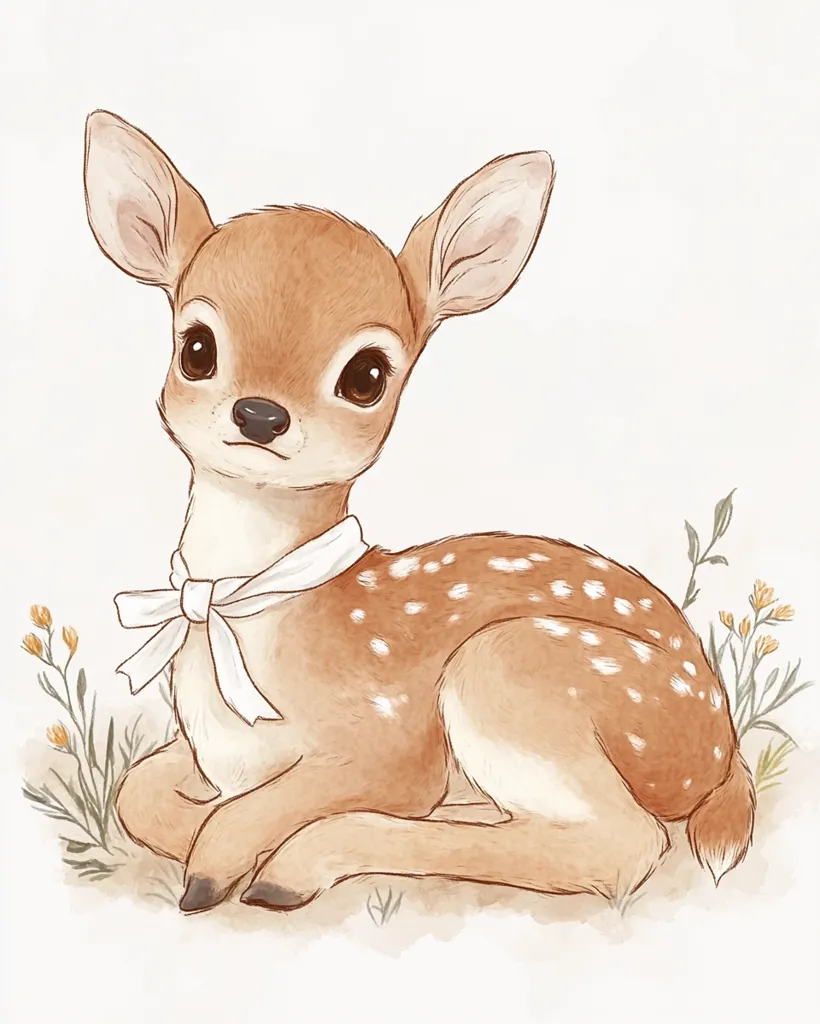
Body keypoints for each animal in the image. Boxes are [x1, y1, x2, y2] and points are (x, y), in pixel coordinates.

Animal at [82, 110, 756, 916]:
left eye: (367, 375)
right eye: (196, 347)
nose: (260, 415)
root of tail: (720, 747)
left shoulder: (391, 742)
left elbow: (265, 805)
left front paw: (219, 868)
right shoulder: (196, 755)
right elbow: (139, 792)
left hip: (518, 669)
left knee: (623, 846)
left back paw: (296, 867)